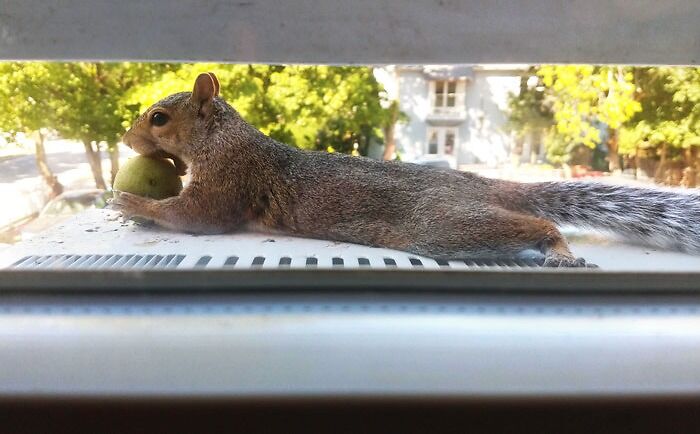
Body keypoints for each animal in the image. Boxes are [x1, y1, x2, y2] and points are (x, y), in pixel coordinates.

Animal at [112, 72, 700, 266]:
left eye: (159, 118)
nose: (125, 140)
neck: (220, 137)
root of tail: (476, 183)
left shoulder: (231, 177)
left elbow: (199, 216)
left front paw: (129, 202)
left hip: (445, 224)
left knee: (537, 224)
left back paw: (558, 249)